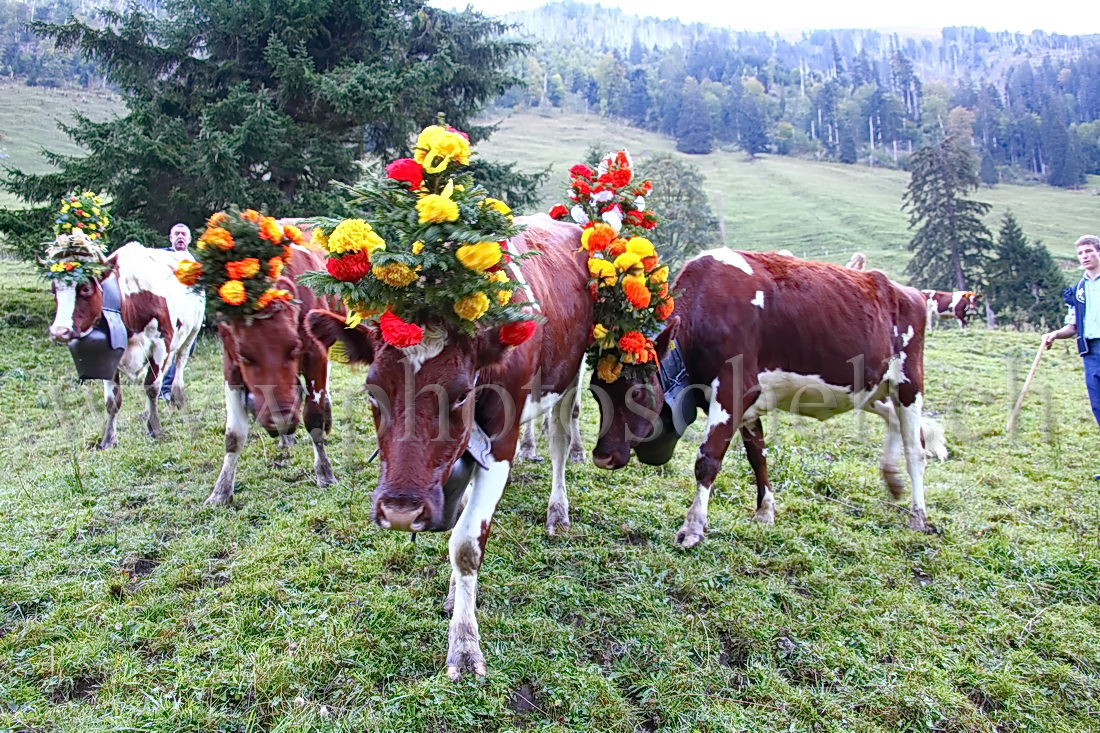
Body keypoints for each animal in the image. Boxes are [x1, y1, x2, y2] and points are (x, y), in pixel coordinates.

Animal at [46, 239, 205, 449]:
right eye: (53, 290)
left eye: (86, 288)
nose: (59, 331)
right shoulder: (108, 354)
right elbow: (112, 400)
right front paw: (108, 439)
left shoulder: (161, 343)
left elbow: (151, 387)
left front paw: (155, 429)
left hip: (192, 330)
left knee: (179, 361)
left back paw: (177, 396)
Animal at [204, 231, 343, 506]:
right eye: (245, 355)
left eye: (295, 347)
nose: (282, 418)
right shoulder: (230, 366)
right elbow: (234, 435)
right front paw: (220, 491)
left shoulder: (315, 353)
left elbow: (313, 418)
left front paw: (325, 473)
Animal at [308, 212, 594, 677]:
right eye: (372, 391)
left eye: (461, 394)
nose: (400, 511)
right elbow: (458, 522)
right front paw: (454, 597)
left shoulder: (500, 445)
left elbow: (465, 545)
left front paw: (463, 644)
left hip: (572, 372)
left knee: (560, 440)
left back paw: (558, 511)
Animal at [594, 248, 946, 545]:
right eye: (596, 394)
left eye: (638, 393)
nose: (602, 457)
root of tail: (908, 291)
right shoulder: (750, 399)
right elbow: (757, 455)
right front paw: (765, 511)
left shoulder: (733, 388)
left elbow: (707, 459)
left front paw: (693, 527)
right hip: (871, 387)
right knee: (898, 423)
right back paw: (892, 479)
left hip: (909, 382)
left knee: (916, 449)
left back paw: (918, 515)